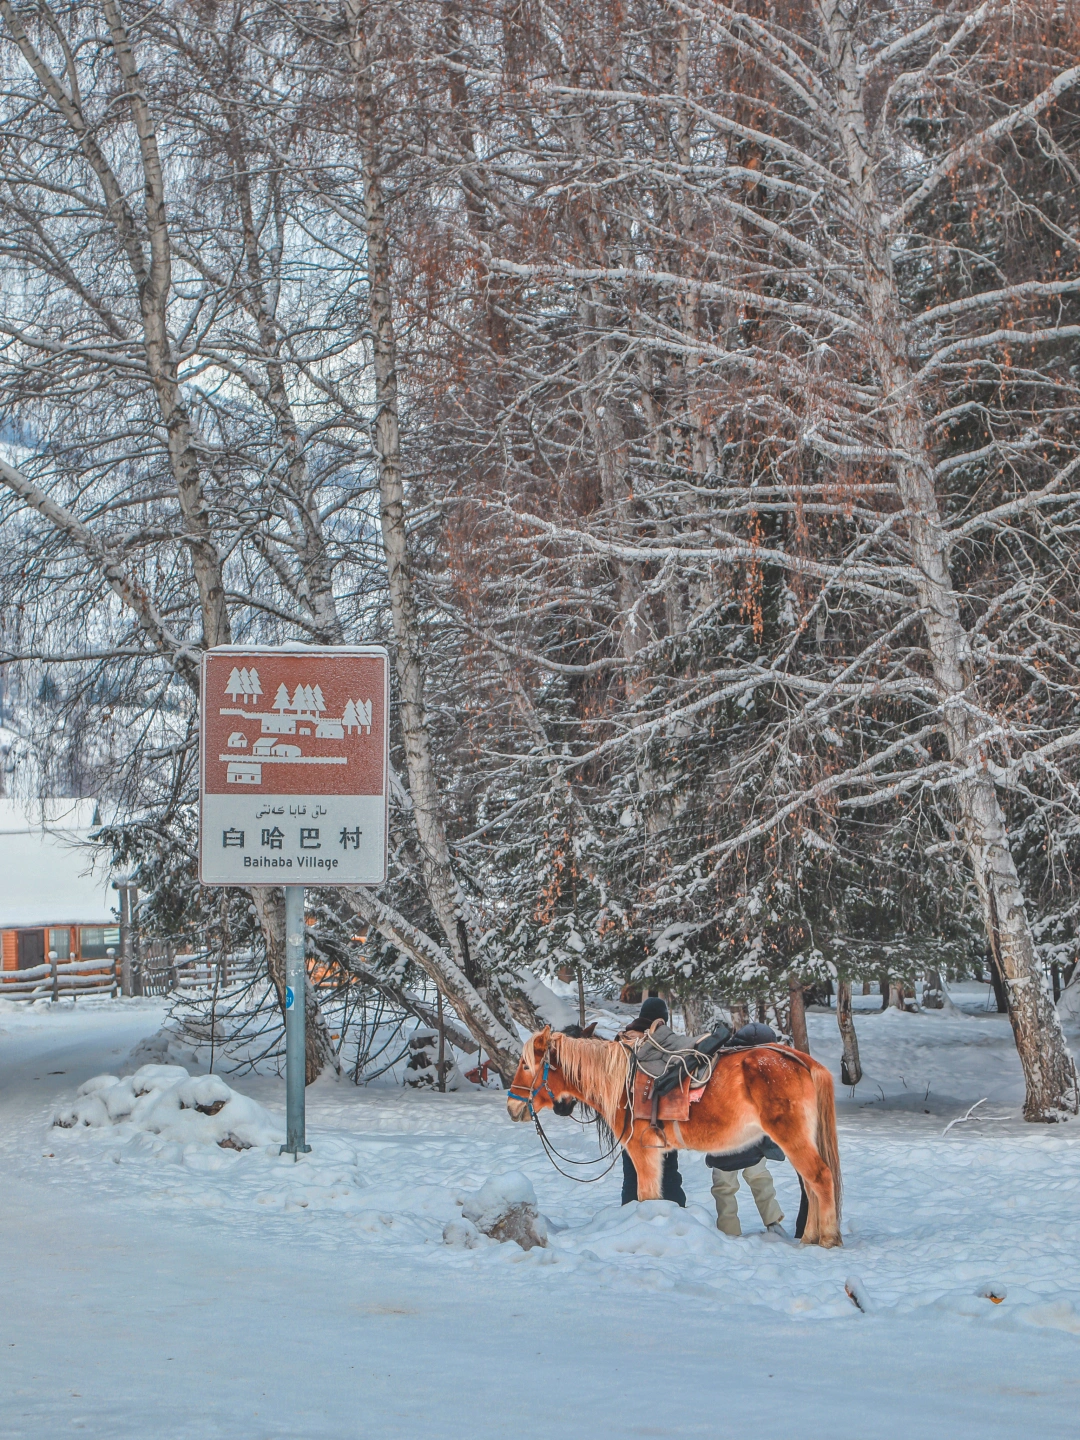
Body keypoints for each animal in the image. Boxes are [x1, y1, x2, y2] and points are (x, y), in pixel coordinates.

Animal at [507, 1024, 843, 1247]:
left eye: (526, 1065)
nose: (512, 1106)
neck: (621, 1082)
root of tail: (799, 1059)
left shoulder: (641, 1152)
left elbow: (646, 1195)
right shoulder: (658, 1153)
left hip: (792, 1139)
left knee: (820, 1178)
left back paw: (827, 1238)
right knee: (811, 1186)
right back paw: (810, 1237)